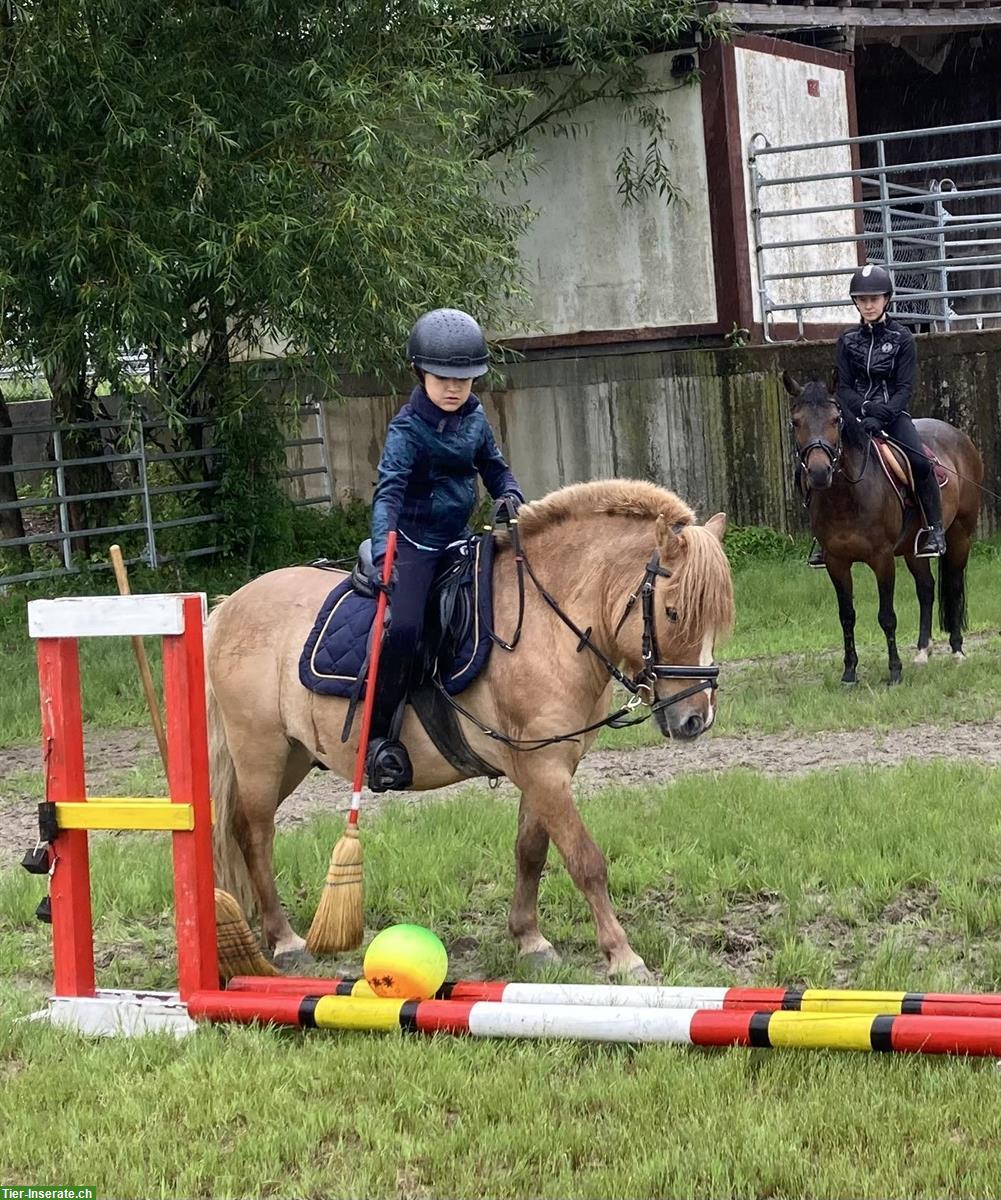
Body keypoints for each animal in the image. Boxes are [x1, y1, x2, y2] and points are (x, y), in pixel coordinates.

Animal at [205, 475, 734, 974]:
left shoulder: (547, 765)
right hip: (260, 751)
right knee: (255, 834)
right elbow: (585, 860)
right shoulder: (543, 770)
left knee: (243, 829)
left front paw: (530, 940)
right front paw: (623, 955)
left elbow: (531, 850)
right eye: (673, 611)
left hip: (293, 756)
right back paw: (285, 940)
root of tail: (229, 607)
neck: (544, 624)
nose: (695, 718)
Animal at [777, 374, 974, 691]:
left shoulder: (882, 559)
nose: (819, 473)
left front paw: (894, 672)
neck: (848, 495)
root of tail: (959, 435)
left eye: (835, 419)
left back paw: (957, 651)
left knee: (954, 586)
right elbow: (847, 616)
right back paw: (922, 651)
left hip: (960, 535)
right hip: (912, 549)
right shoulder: (836, 561)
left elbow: (887, 617)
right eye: (796, 422)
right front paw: (849, 673)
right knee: (926, 588)